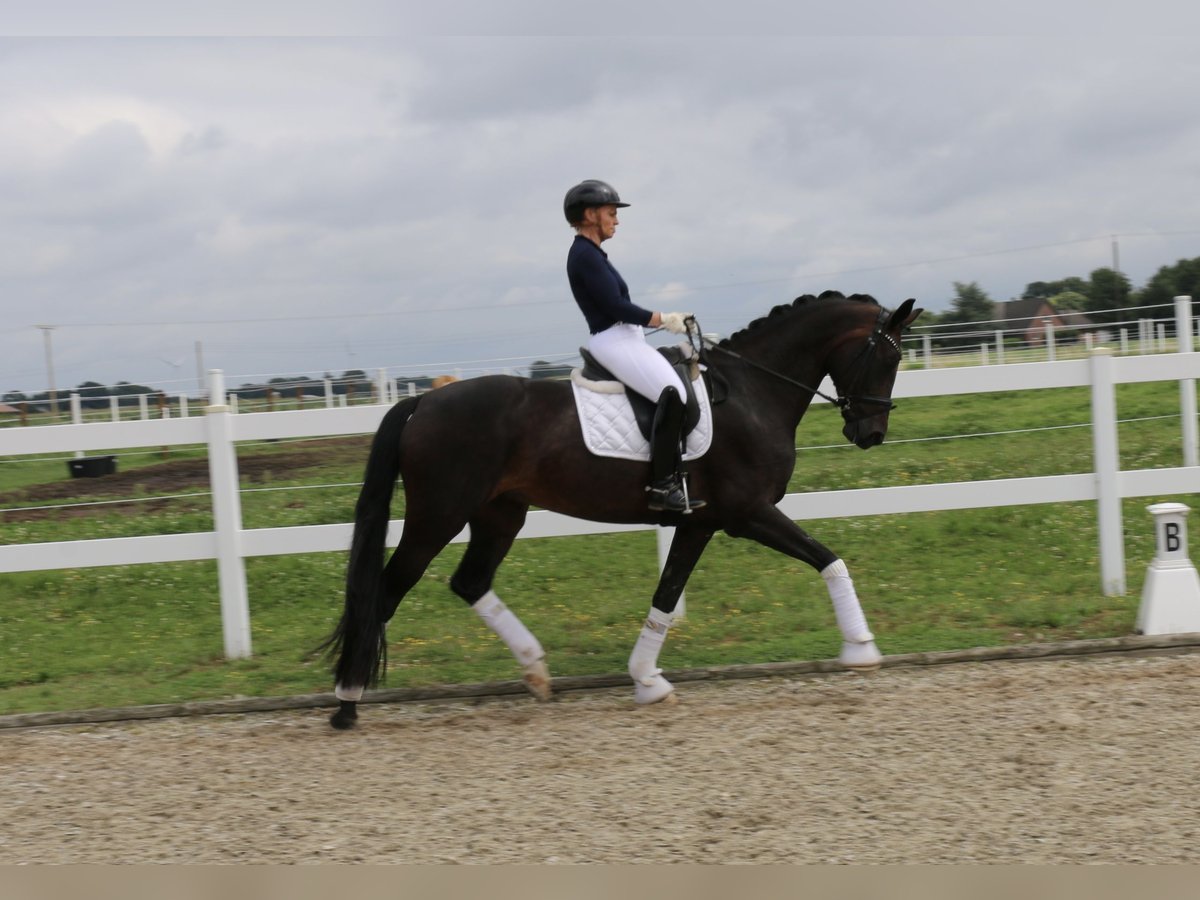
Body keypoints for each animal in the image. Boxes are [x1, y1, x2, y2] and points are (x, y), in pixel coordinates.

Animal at [324, 292, 921, 729]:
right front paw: (862, 649)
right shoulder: (747, 515)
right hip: (438, 516)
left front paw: (647, 681)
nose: (870, 433)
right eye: (889, 357)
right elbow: (828, 557)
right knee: (388, 589)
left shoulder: (700, 523)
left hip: (500, 513)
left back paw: (536, 672)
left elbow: (667, 595)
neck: (753, 392)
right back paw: (347, 702)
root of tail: (422, 400)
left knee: (470, 581)